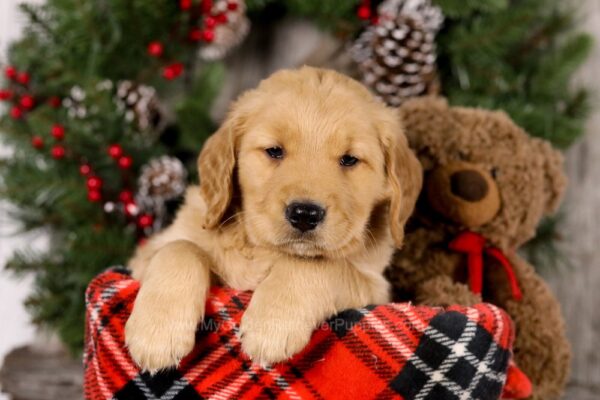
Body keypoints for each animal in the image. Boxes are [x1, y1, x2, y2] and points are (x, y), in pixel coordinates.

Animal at [125, 66, 422, 372]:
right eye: (274, 151)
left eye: (350, 159)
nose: (305, 214)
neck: (260, 250)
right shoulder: (144, 257)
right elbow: (180, 247)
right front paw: (157, 333)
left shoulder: (375, 286)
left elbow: (315, 263)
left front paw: (273, 325)